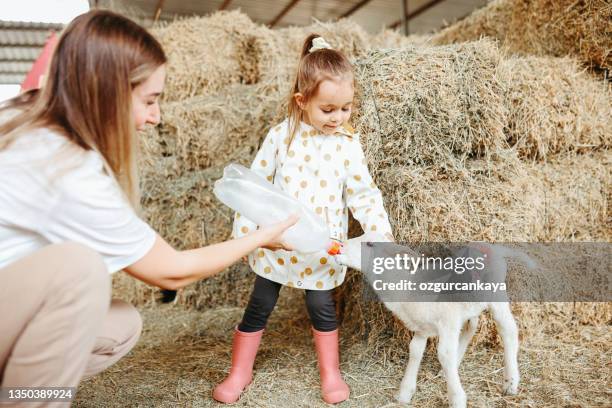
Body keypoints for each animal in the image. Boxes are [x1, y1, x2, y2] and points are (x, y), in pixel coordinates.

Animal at [334, 233, 536, 408]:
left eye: (370, 244)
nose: (338, 247)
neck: (408, 287)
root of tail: (493, 248)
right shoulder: (422, 327)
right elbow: (415, 351)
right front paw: (405, 392)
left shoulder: (448, 321)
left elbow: (444, 353)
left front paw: (457, 399)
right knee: (472, 326)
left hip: (496, 295)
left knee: (508, 330)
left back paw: (510, 382)